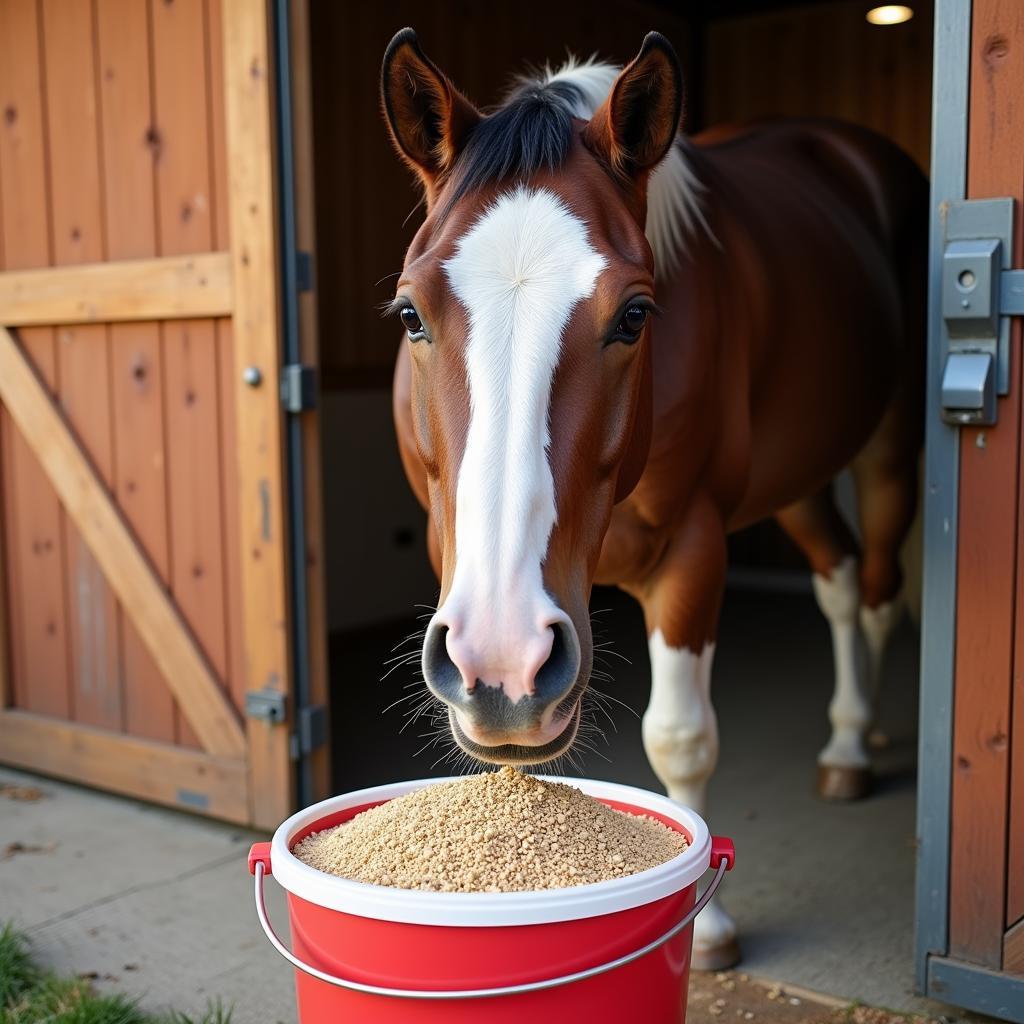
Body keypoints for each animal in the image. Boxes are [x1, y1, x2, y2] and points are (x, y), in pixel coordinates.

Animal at [382, 25, 929, 966]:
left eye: (635, 315)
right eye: (412, 314)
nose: (504, 665)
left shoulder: (694, 549)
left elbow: (681, 738)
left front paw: (703, 926)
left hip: (888, 453)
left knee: (878, 591)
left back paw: (857, 743)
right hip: (797, 476)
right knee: (837, 577)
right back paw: (847, 745)